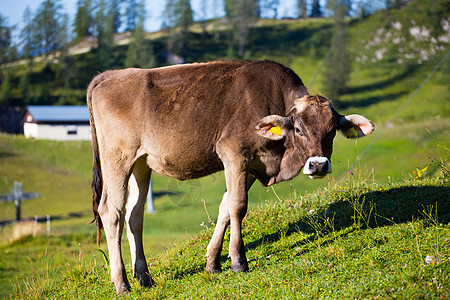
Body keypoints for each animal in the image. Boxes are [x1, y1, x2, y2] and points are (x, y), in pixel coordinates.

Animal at [86, 59, 374, 294]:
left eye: (331, 130)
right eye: (299, 129)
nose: (318, 165)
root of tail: (109, 75)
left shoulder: (251, 165)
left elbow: (225, 205)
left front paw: (213, 262)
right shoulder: (234, 153)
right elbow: (238, 206)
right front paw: (238, 261)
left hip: (141, 163)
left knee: (134, 215)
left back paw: (144, 278)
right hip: (117, 157)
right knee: (112, 212)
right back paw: (122, 283)